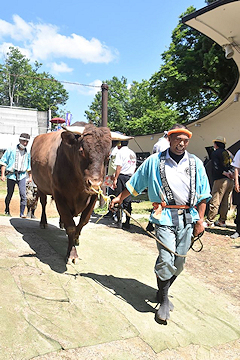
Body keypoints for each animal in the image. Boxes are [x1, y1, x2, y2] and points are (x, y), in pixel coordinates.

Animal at [31, 122, 112, 262]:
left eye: (108, 156)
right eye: (81, 151)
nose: (94, 184)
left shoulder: (93, 197)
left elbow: (82, 222)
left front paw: (76, 239)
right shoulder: (59, 195)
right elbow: (71, 225)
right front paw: (72, 254)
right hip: (40, 187)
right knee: (43, 203)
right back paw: (43, 222)